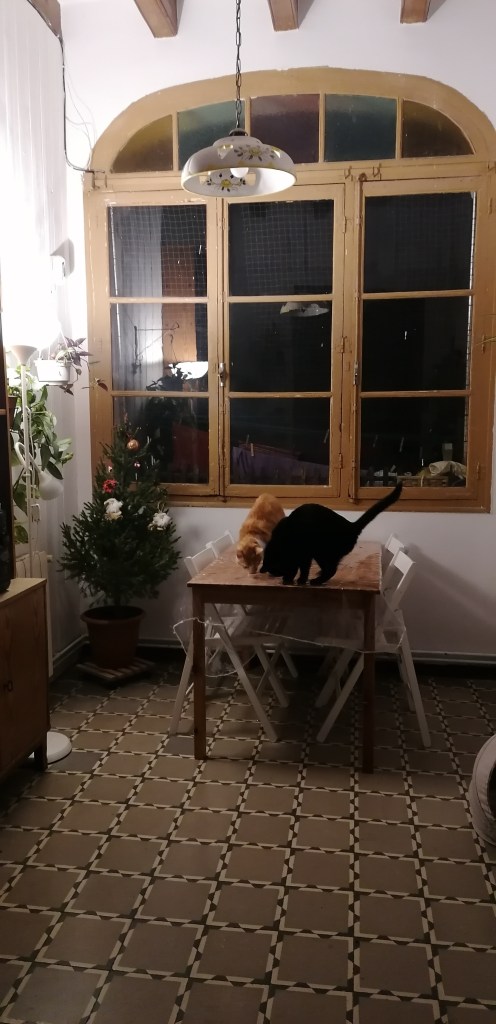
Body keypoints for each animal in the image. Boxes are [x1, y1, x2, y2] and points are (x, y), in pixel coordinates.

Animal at [261, 482, 403, 586]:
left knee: (331, 570)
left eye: (282, 569)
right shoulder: (301, 556)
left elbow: (304, 568)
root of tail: (351, 526)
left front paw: (299, 580)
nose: (285, 580)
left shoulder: (305, 554)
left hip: (322, 551)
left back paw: (316, 581)